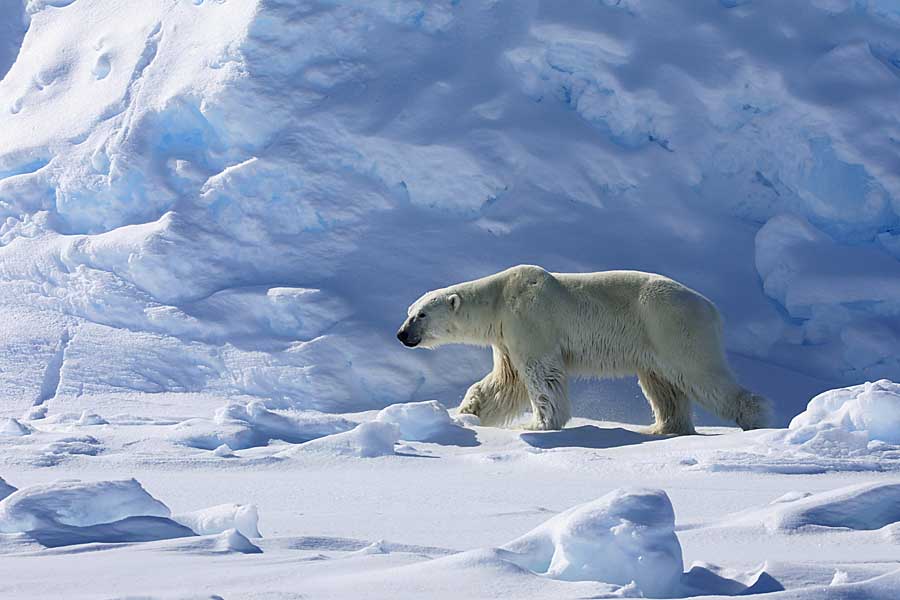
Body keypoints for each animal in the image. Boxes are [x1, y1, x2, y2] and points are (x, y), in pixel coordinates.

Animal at [398, 264, 768, 434]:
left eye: (421, 315)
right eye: (409, 312)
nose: (402, 334)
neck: (500, 297)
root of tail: (711, 308)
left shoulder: (530, 321)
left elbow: (541, 376)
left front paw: (538, 425)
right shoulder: (505, 337)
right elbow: (504, 383)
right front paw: (467, 414)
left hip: (672, 327)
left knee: (701, 374)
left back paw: (756, 418)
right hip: (654, 344)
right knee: (663, 387)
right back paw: (663, 427)